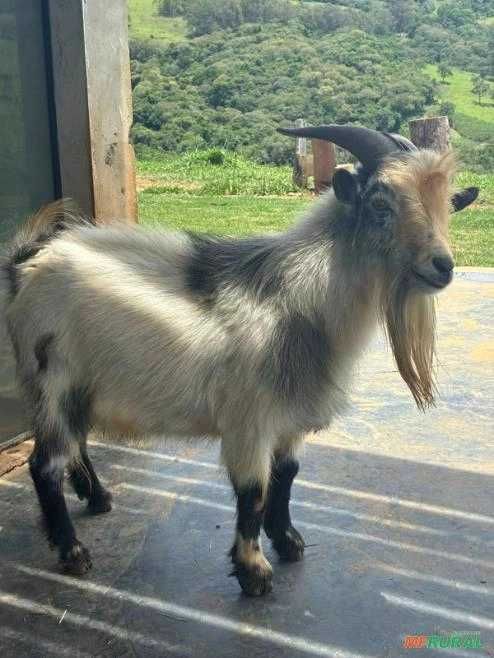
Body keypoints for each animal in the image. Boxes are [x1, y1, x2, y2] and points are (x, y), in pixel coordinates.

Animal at [1, 125, 478, 596]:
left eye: (446, 206)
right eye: (381, 203)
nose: (443, 266)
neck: (296, 297)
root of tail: (26, 265)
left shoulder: (289, 418)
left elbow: (286, 476)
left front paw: (288, 541)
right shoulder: (249, 419)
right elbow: (253, 492)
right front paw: (254, 572)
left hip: (80, 386)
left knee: (76, 444)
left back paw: (98, 499)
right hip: (53, 381)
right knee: (45, 465)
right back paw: (73, 552)